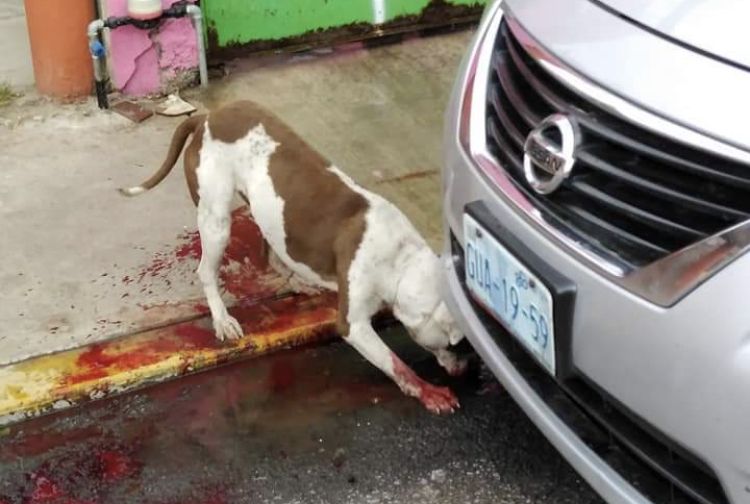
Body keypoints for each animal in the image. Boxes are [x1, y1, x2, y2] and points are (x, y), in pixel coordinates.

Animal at [120, 100, 466, 413]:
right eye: (458, 342)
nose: (466, 366)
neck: (400, 258)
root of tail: (207, 117)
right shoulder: (353, 325)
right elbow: (395, 363)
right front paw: (427, 390)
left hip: (266, 212)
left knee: (271, 254)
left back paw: (300, 283)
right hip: (216, 220)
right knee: (207, 270)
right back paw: (222, 319)